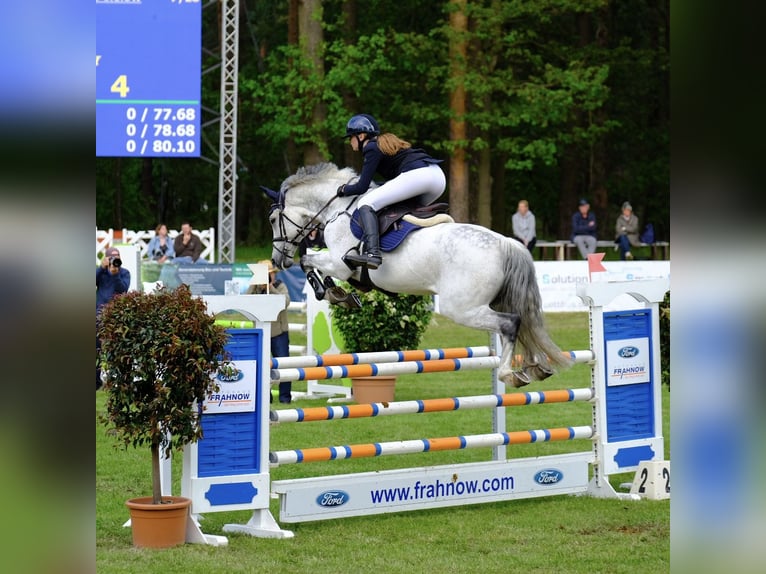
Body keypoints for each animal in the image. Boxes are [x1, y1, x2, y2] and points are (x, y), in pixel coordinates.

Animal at [265, 162, 572, 387]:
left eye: (272, 219)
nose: (277, 260)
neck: (337, 209)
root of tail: (505, 243)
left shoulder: (341, 263)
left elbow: (308, 261)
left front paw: (330, 292)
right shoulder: (342, 266)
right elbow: (315, 265)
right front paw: (340, 293)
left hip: (461, 308)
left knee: (511, 323)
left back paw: (510, 374)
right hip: (492, 301)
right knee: (525, 322)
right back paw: (535, 366)